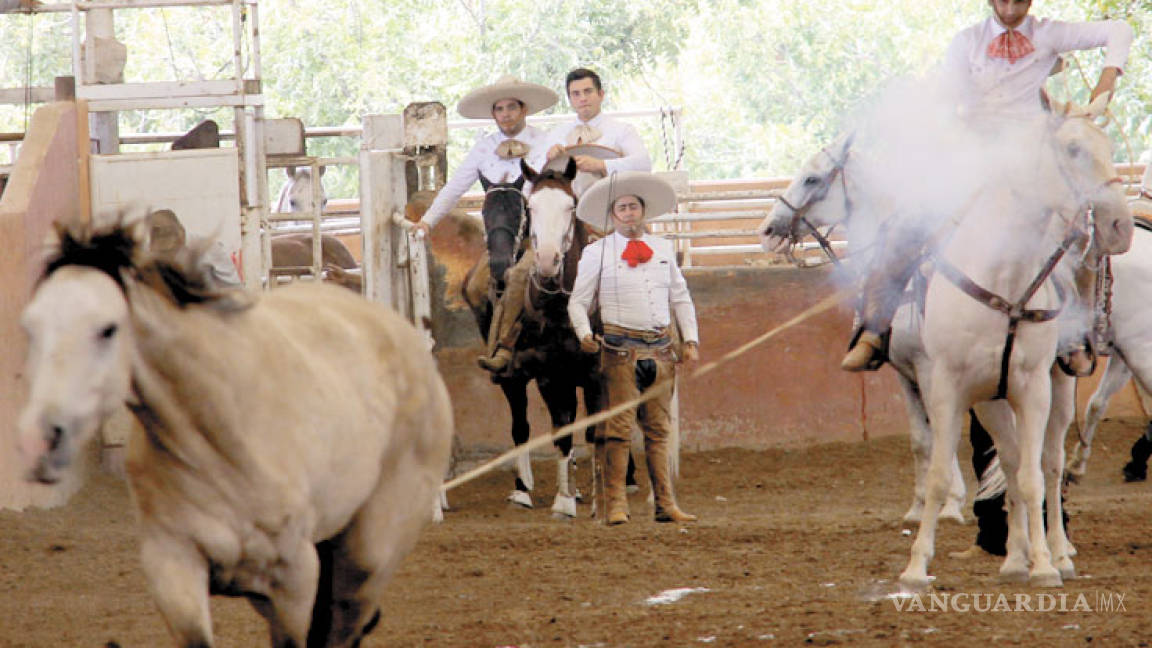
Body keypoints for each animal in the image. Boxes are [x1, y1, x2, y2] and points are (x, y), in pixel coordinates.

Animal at [19, 217, 449, 645]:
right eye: (31, 328)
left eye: (107, 329)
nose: (40, 440)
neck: (219, 438)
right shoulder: (172, 564)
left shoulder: (294, 580)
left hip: (367, 557)